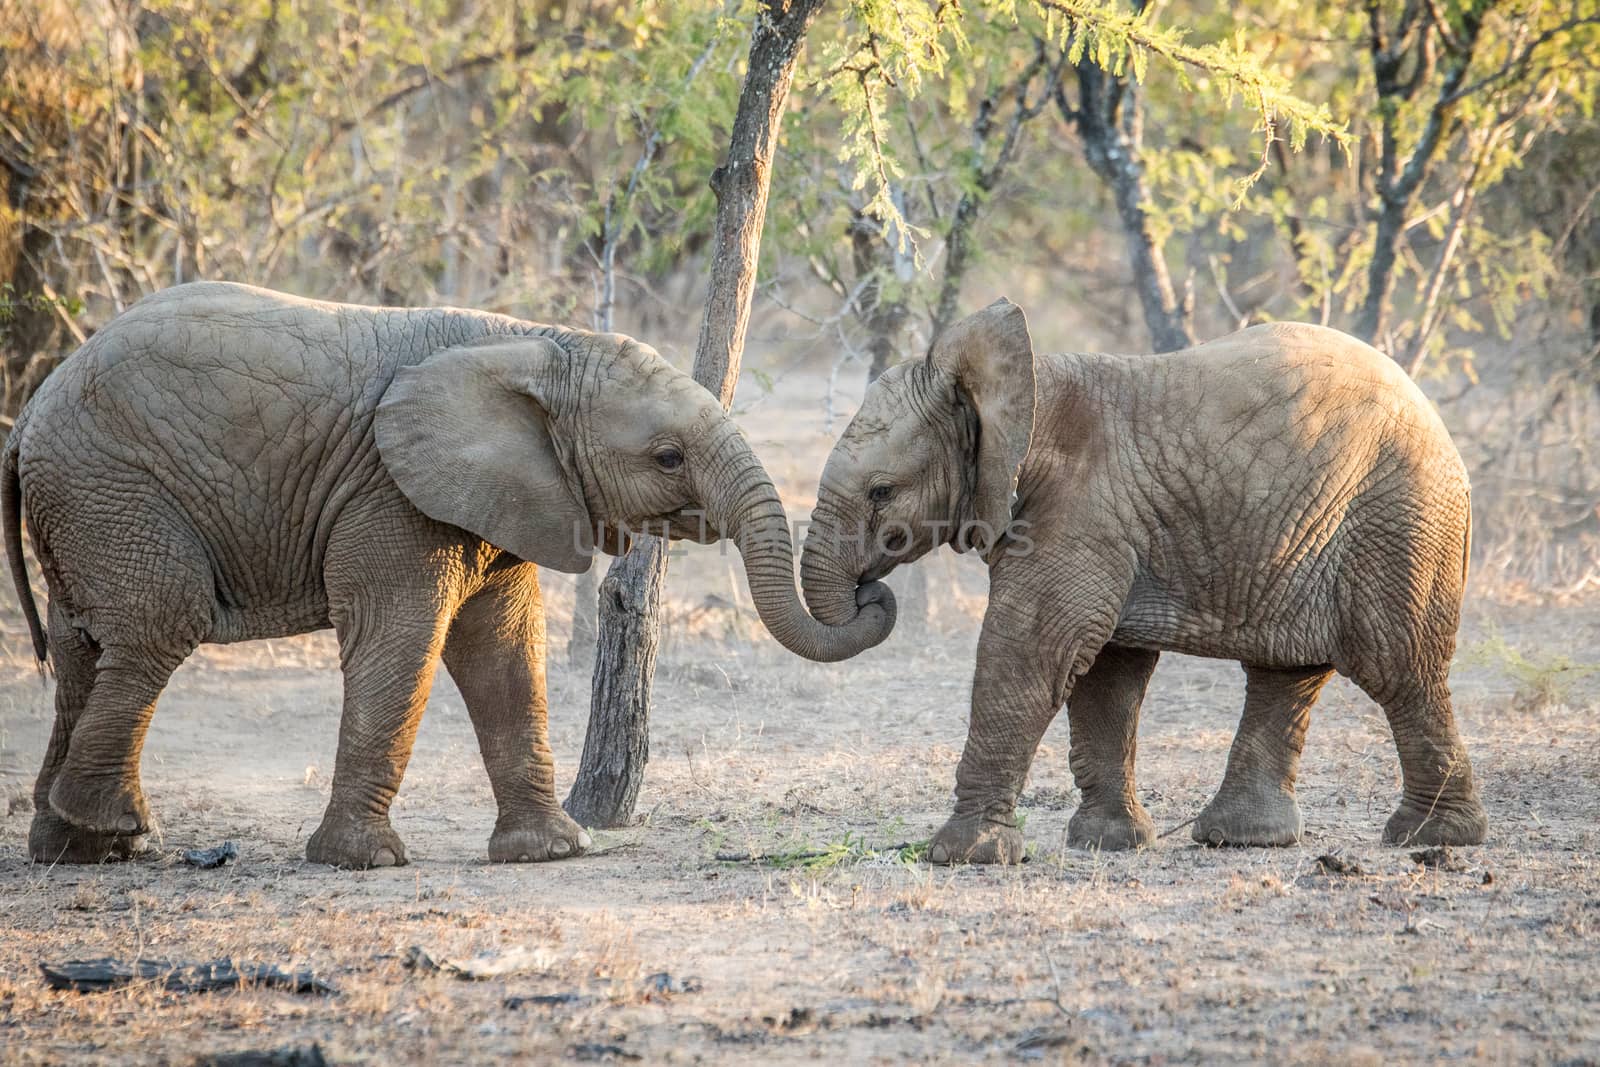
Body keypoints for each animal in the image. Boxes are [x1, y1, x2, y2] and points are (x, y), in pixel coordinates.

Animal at [6, 281, 896, 870]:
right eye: (668, 456)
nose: (874, 586)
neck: (532, 342)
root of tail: (28, 419)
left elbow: (505, 652)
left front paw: (552, 852)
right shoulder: (391, 494)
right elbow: (402, 644)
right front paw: (364, 862)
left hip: (85, 502)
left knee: (83, 649)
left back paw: (76, 850)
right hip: (114, 491)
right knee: (160, 624)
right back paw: (123, 835)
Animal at [800, 295, 1484, 863]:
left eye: (882, 492)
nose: (870, 592)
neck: (1023, 386)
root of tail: (1437, 420)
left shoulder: (1083, 511)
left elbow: (1034, 650)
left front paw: (965, 856)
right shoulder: (1102, 522)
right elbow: (1106, 671)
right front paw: (1109, 844)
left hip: (1399, 519)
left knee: (1399, 665)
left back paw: (1432, 839)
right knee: (1287, 671)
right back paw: (1243, 838)